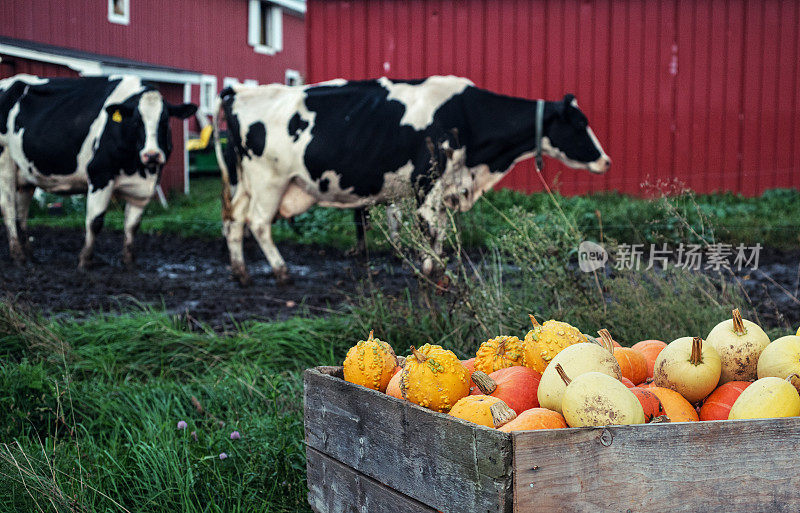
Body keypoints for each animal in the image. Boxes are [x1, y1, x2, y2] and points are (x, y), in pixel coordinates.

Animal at [0, 76, 198, 268]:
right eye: (136, 122)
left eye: (164, 121)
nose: (152, 155)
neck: (138, 168)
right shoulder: (100, 176)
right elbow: (95, 221)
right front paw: (85, 260)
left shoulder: (143, 188)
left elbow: (132, 225)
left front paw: (129, 262)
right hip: (5, 163)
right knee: (8, 209)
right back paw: (18, 257)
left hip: (25, 176)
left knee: (21, 214)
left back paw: (30, 256)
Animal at [216, 75, 608, 284]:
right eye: (579, 124)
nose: (606, 160)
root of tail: (241, 92)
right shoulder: (426, 183)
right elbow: (431, 231)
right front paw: (431, 271)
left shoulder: (446, 185)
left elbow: (441, 231)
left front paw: (436, 269)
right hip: (269, 180)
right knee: (258, 224)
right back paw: (281, 271)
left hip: (246, 184)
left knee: (233, 222)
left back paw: (240, 272)